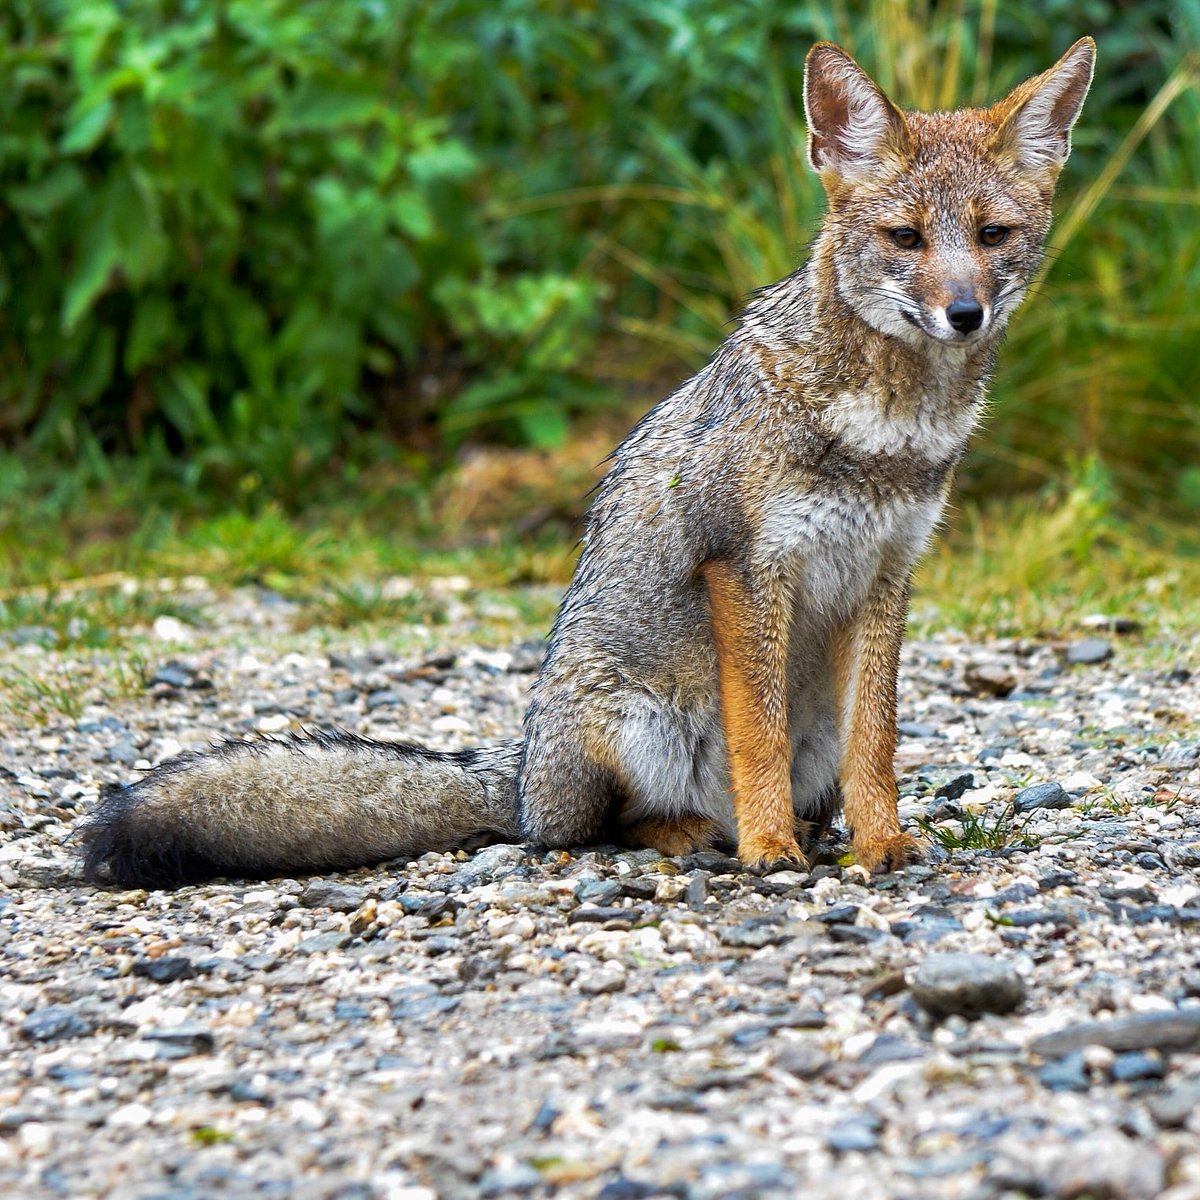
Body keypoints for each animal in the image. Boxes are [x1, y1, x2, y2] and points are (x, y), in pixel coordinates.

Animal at [80, 37, 1096, 888]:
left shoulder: (889, 575)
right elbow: (756, 734)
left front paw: (881, 842)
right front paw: (771, 849)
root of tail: (520, 770)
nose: (964, 313)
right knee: (592, 829)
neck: (886, 433)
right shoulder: (744, 566)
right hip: (634, 728)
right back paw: (707, 832)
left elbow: (876, 743)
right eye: (906, 240)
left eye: (992, 237)